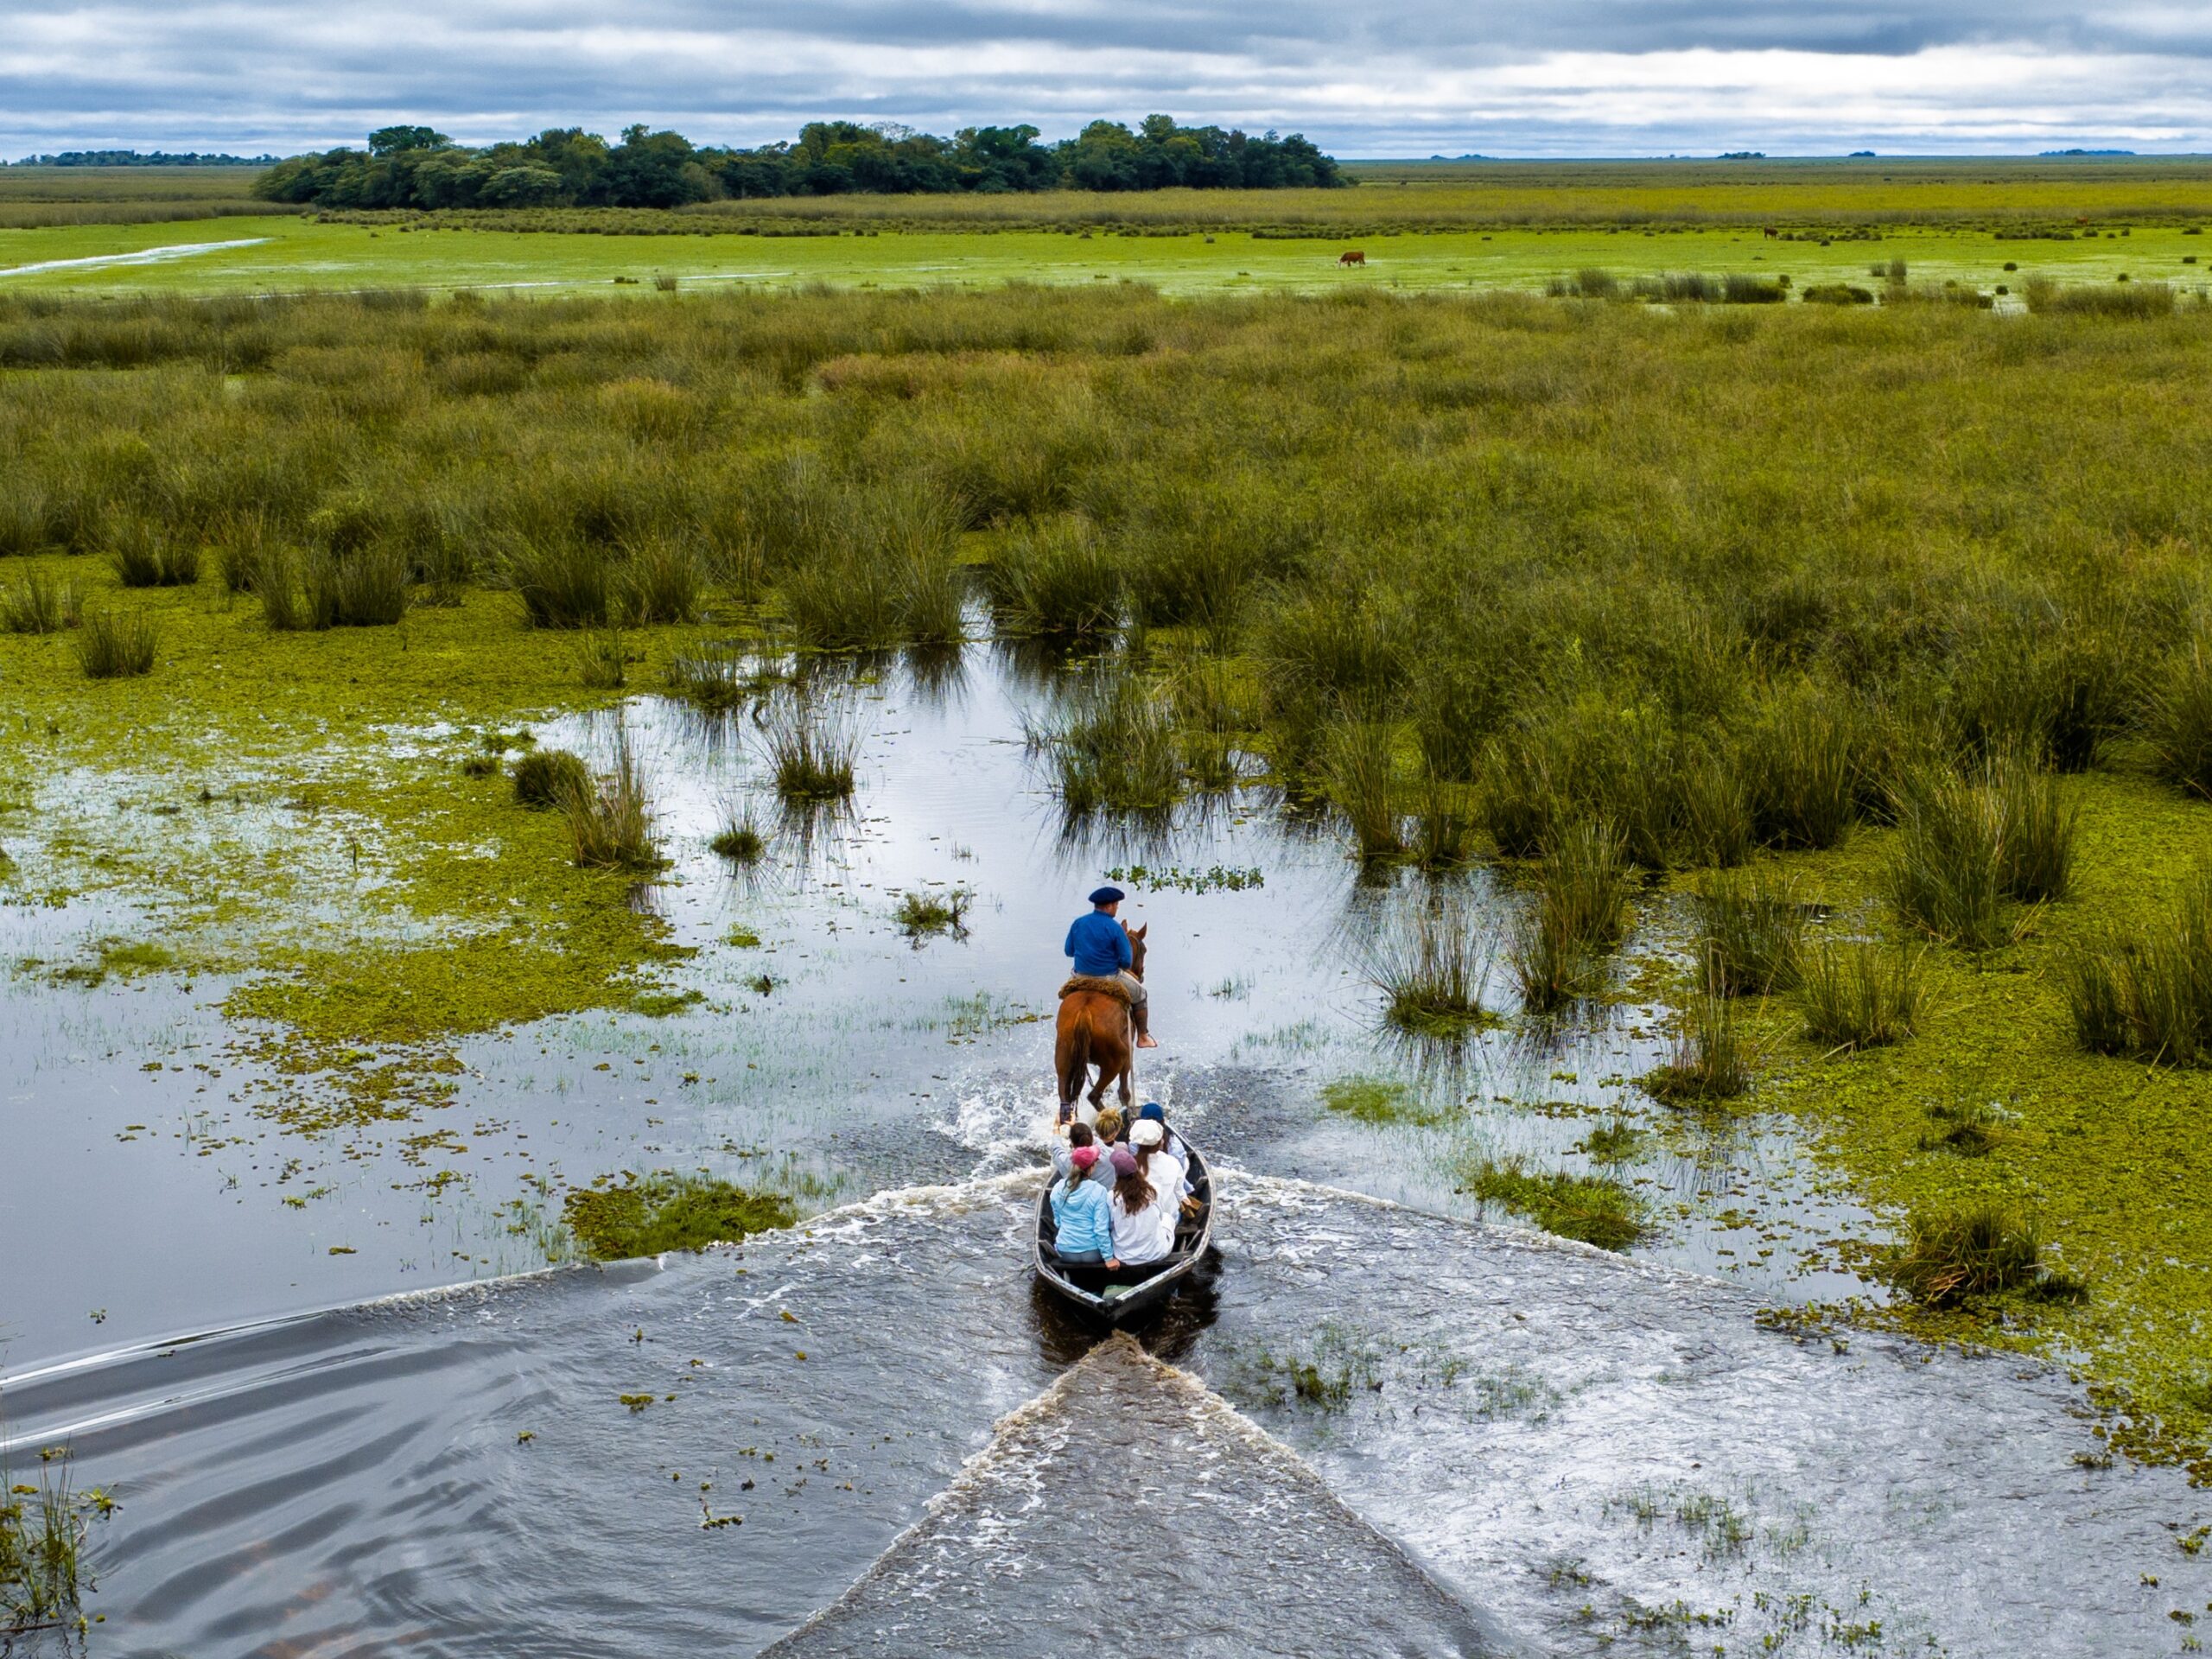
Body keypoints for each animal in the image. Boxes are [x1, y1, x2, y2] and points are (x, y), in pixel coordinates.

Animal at [1055, 923, 1146, 1118]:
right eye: (1144, 950)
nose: (1141, 974)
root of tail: (1084, 1012)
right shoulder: (1128, 1056)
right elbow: (1124, 1091)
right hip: (1114, 1062)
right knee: (1094, 1096)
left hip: (1063, 1058)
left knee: (1065, 1097)